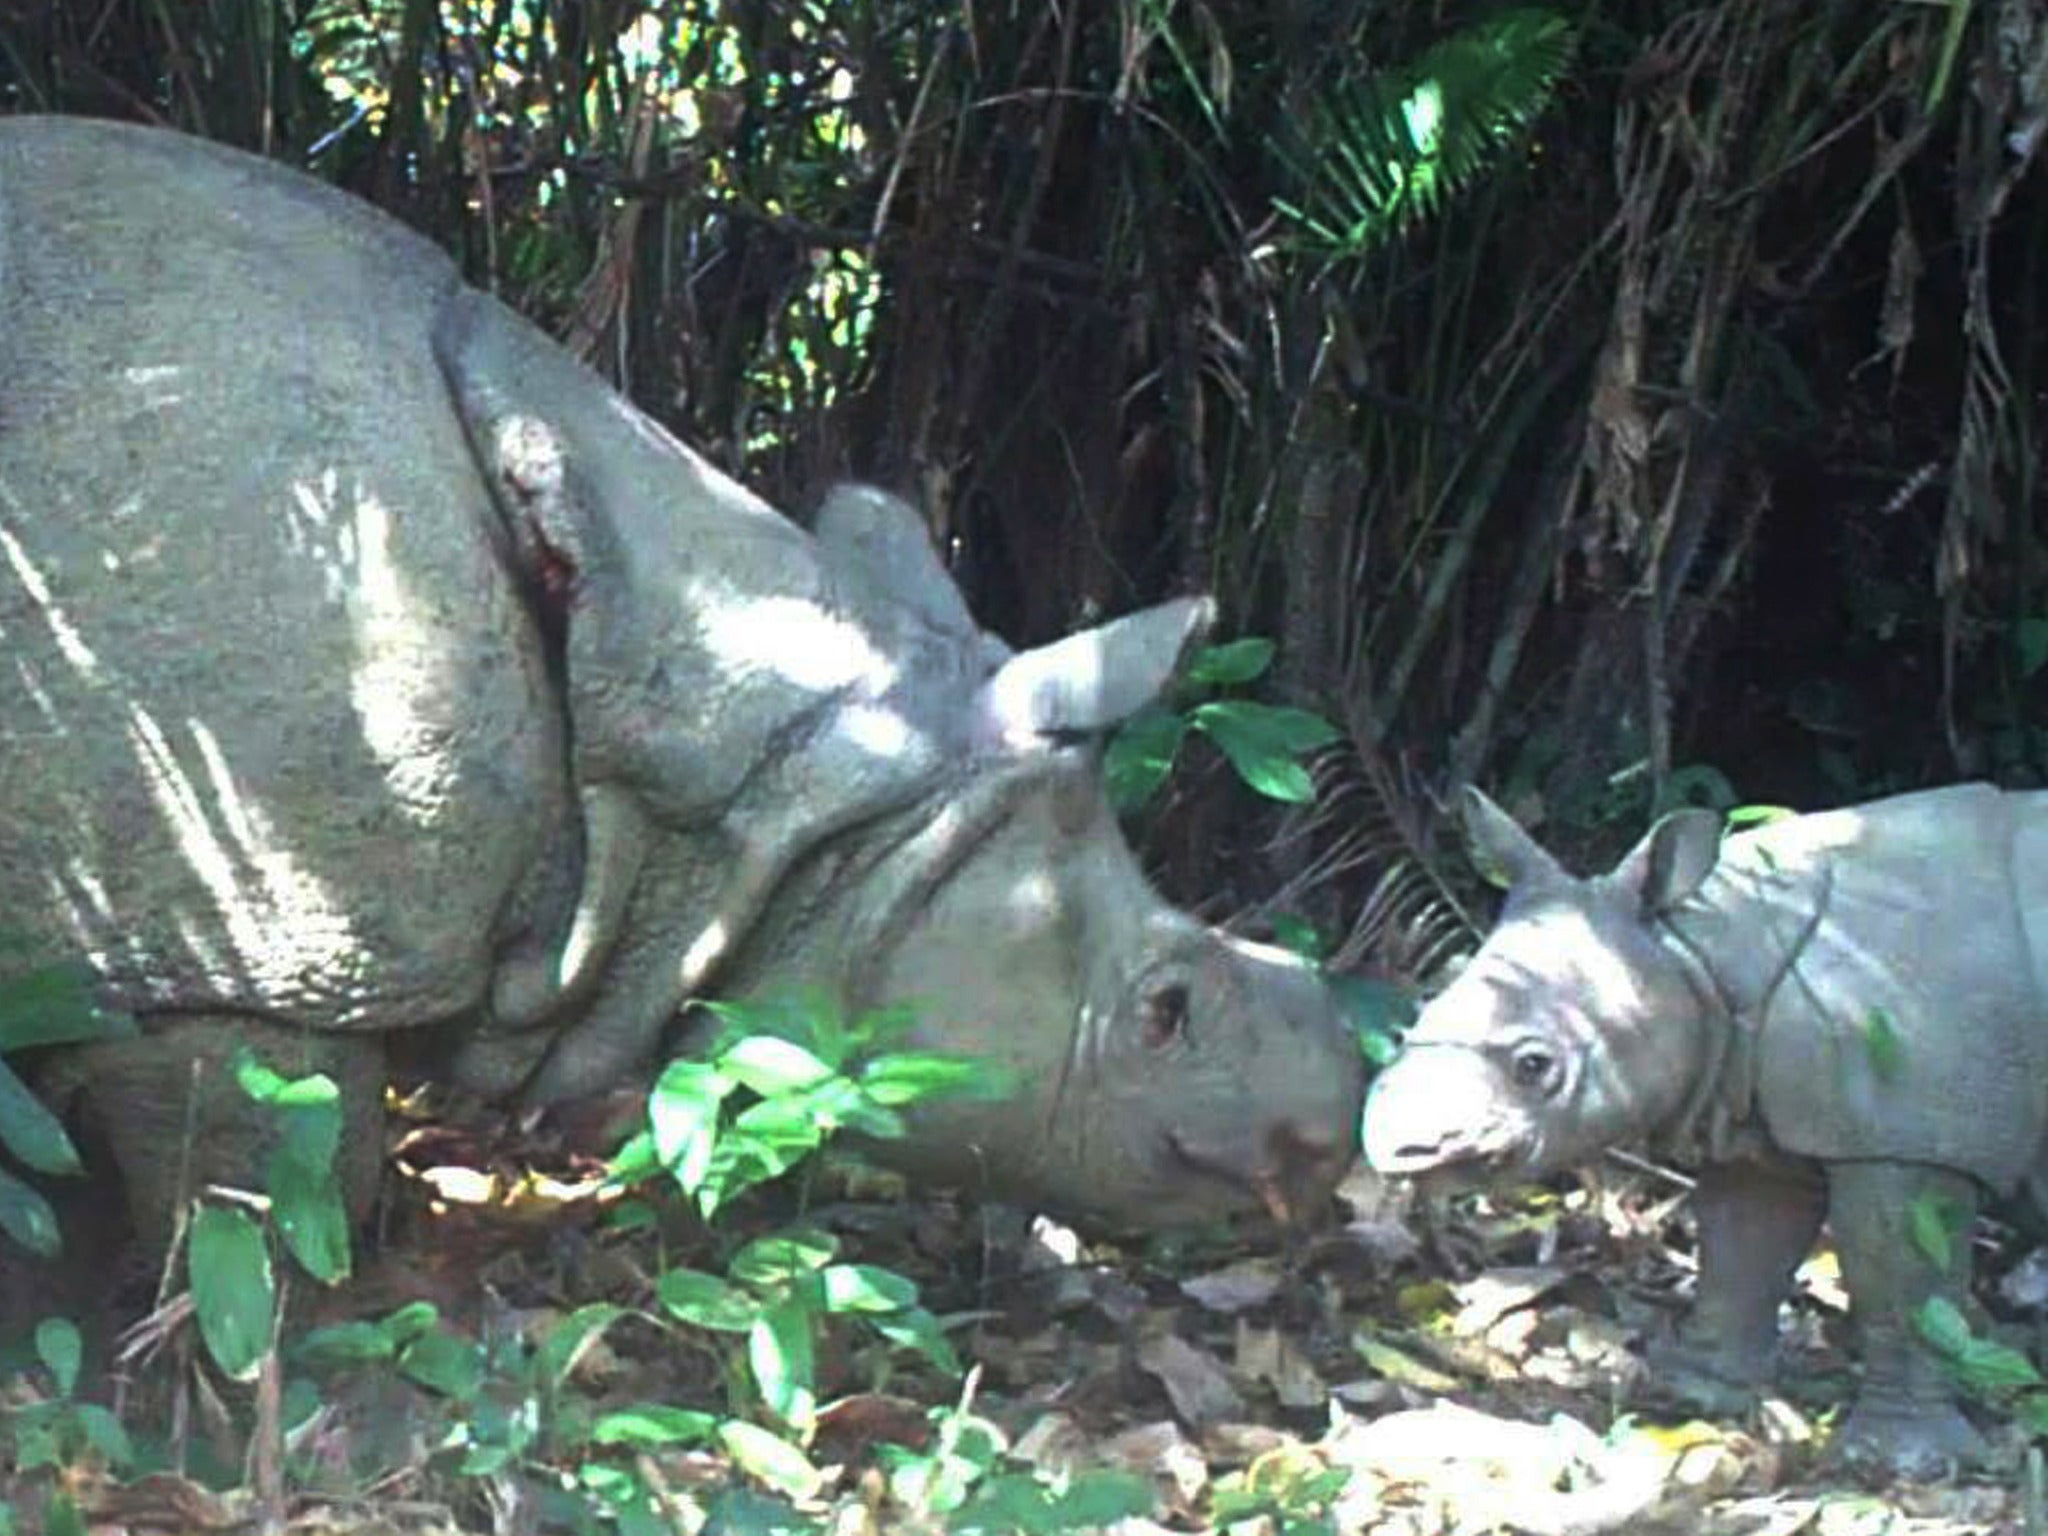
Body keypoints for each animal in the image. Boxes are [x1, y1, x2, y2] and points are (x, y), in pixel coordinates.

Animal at [1359, 786, 2048, 1482]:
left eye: (1535, 1065)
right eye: (1417, 1017)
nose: (1400, 1145)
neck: (1696, 952)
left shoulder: (1906, 1137)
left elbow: (1901, 1280)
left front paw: (1898, 1464)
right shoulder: (1763, 1116)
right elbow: (1743, 1245)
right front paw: (1691, 1395)